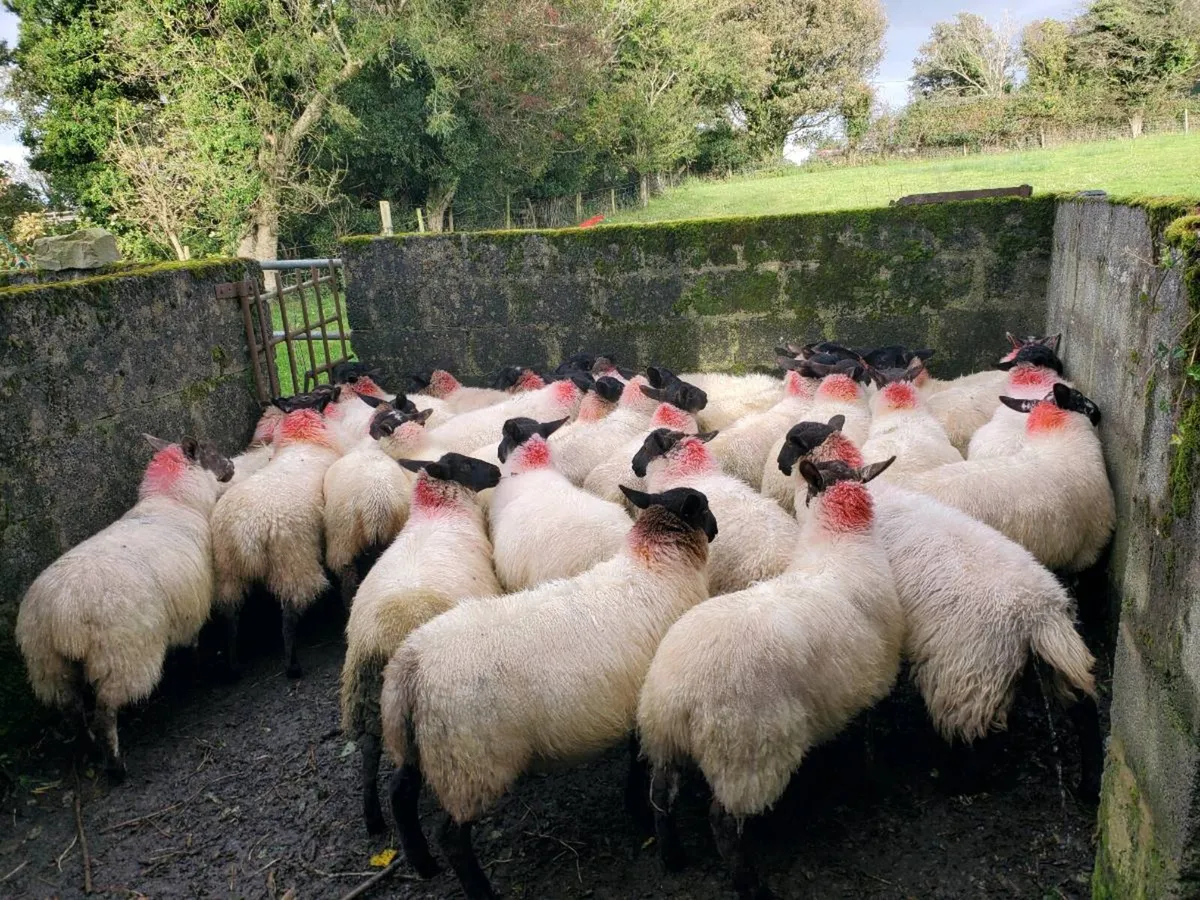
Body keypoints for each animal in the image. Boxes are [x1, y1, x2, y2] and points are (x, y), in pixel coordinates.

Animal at [16, 434, 234, 782]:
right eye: (211, 453)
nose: (232, 467)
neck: (174, 499)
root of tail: (62, 614)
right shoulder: (190, 606)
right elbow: (193, 643)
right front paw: (199, 670)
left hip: (49, 665)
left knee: (73, 711)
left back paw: (91, 749)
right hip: (120, 657)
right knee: (104, 713)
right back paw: (116, 767)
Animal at [210, 397, 342, 678]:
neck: (302, 441)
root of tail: (246, 531)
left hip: (226, 568)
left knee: (230, 617)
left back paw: (233, 665)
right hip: (293, 559)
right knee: (290, 615)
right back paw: (292, 665)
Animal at [340, 452, 501, 835]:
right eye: (466, 465)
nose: (497, 472)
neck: (437, 511)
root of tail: (379, 642)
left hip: (368, 700)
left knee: (369, 754)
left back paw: (373, 820)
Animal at [380, 485, 717, 899]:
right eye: (705, 509)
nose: (716, 529)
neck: (658, 569)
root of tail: (410, 667)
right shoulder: (647, 707)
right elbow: (640, 765)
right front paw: (639, 811)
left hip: (423, 742)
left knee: (399, 792)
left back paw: (422, 862)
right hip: (470, 760)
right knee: (452, 838)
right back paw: (480, 890)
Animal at [637, 456, 900, 898]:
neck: (841, 544)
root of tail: (677, 694)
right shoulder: (871, 684)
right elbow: (869, 741)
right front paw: (875, 783)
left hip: (666, 741)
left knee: (660, 795)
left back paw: (672, 856)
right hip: (747, 751)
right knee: (723, 822)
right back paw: (751, 887)